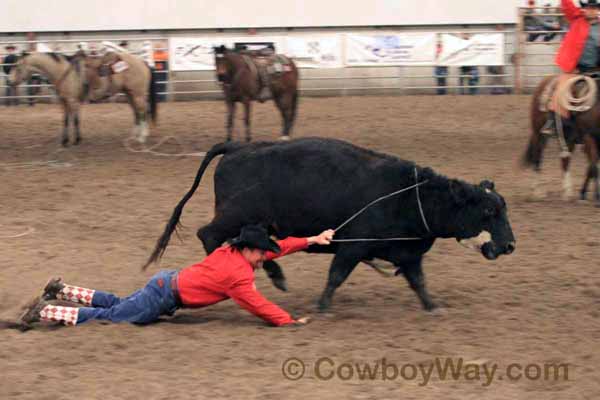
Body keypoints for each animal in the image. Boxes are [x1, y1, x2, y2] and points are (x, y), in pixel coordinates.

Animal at [520, 74, 600, 206]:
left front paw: (583, 194)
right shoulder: (589, 138)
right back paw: (537, 192)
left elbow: (591, 167)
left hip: (567, 138)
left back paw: (567, 193)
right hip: (538, 134)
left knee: (565, 160)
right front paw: (595, 197)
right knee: (537, 158)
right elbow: (593, 167)